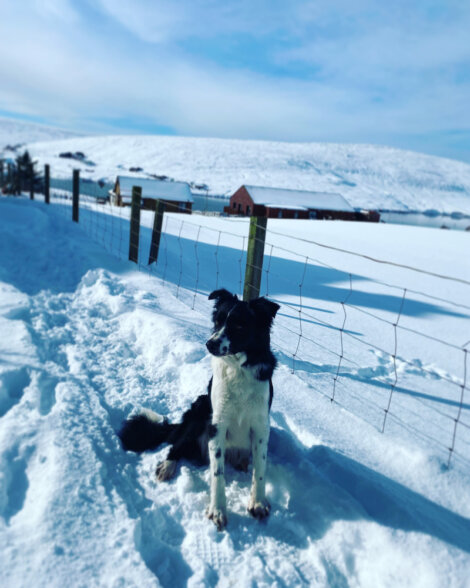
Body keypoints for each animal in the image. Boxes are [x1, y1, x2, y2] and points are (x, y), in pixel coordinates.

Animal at [119, 288, 280, 532]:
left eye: (239, 325)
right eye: (217, 321)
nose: (209, 344)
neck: (238, 369)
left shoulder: (261, 426)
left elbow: (260, 469)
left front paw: (258, 502)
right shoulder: (217, 424)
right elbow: (217, 473)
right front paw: (218, 510)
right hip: (201, 411)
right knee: (176, 446)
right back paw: (167, 466)